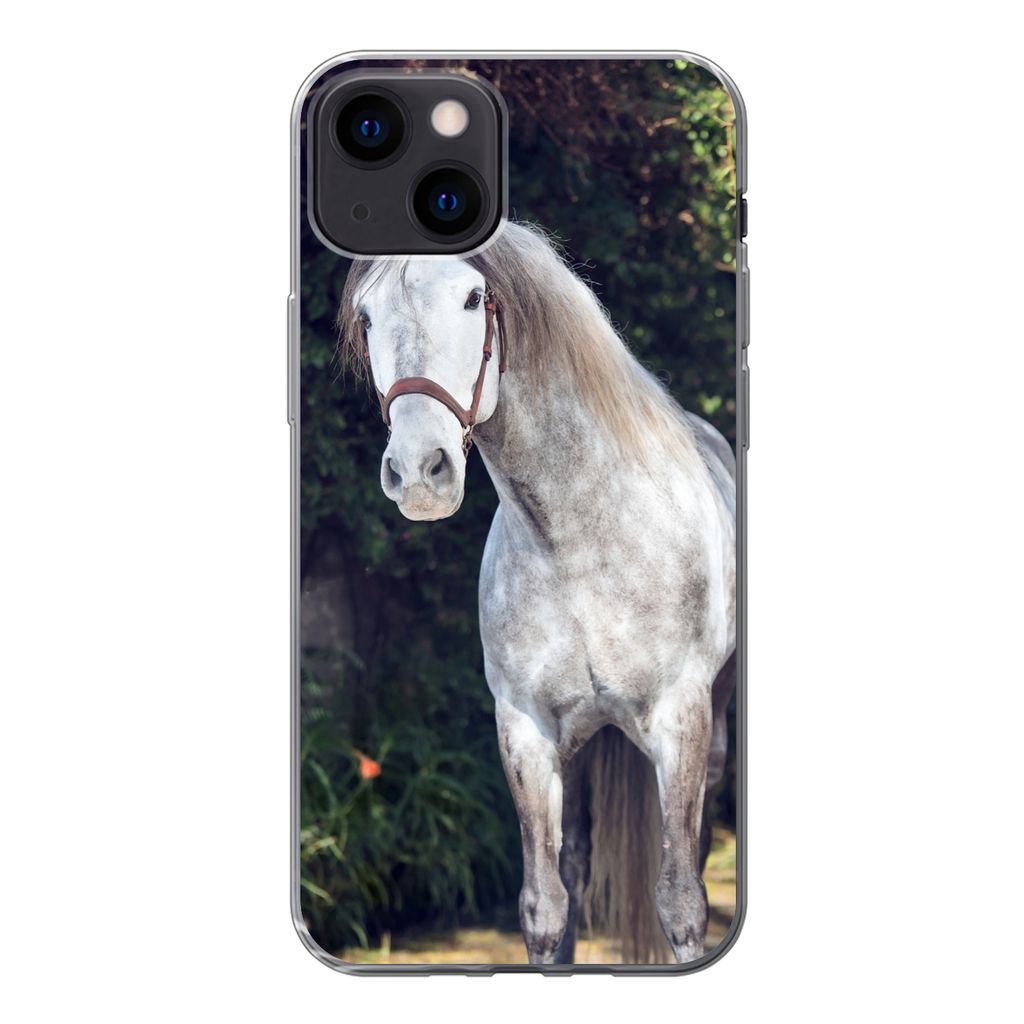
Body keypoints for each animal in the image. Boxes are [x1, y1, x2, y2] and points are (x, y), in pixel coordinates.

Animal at [338, 222, 736, 965]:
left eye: (473, 299)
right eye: (367, 317)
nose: (419, 472)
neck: (579, 539)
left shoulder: (683, 721)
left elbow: (681, 902)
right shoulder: (525, 731)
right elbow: (545, 906)